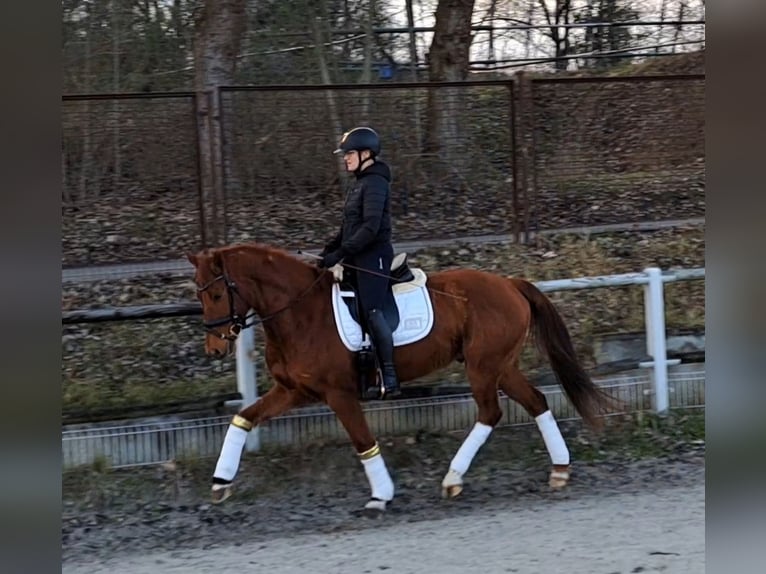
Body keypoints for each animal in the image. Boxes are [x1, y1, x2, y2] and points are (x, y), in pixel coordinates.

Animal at [189, 243, 616, 512]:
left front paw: (380, 496)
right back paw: (559, 469)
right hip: (501, 366)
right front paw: (220, 482)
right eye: (199, 295)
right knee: (536, 402)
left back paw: (452, 478)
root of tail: (509, 284)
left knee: (490, 413)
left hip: (483, 367)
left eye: (215, 295)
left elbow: (364, 442)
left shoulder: (338, 393)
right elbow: (244, 417)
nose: (214, 350)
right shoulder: (294, 390)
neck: (300, 312)